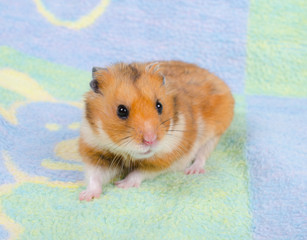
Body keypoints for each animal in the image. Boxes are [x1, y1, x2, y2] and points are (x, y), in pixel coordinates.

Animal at [78, 60, 235, 201]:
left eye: (159, 106)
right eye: (121, 110)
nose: (150, 140)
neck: (130, 155)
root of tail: (212, 75)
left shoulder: (166, 159)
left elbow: (139, 172)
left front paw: (121, 185)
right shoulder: (95, 151)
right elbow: (95, 176)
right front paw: (85, 197)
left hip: (214, 133)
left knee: (203, 154)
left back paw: (193, 171)